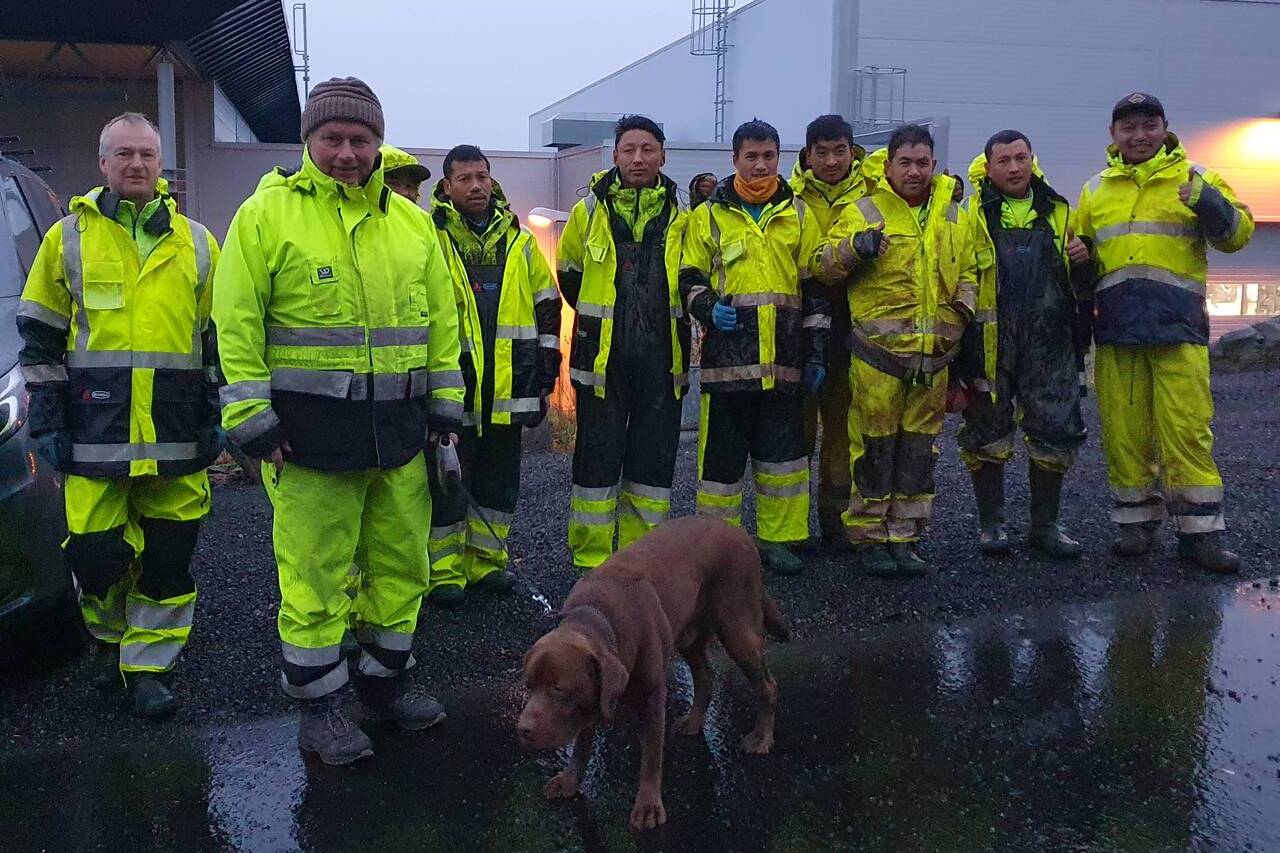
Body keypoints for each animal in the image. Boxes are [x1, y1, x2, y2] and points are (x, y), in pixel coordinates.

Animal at [517, 514, 788, 824]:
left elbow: (651, 756)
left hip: (736, 627)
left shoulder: (652, 697)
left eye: (558, 689)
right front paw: (570, 780)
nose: (522, 730)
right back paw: (694, 721)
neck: (598, 618)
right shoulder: (591, 700)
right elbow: (583, 745)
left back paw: (762, 738)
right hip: (687, 633)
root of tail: (738, 531)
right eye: (528, 686)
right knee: (705, 676)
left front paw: (648, 806)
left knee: (767, 685)